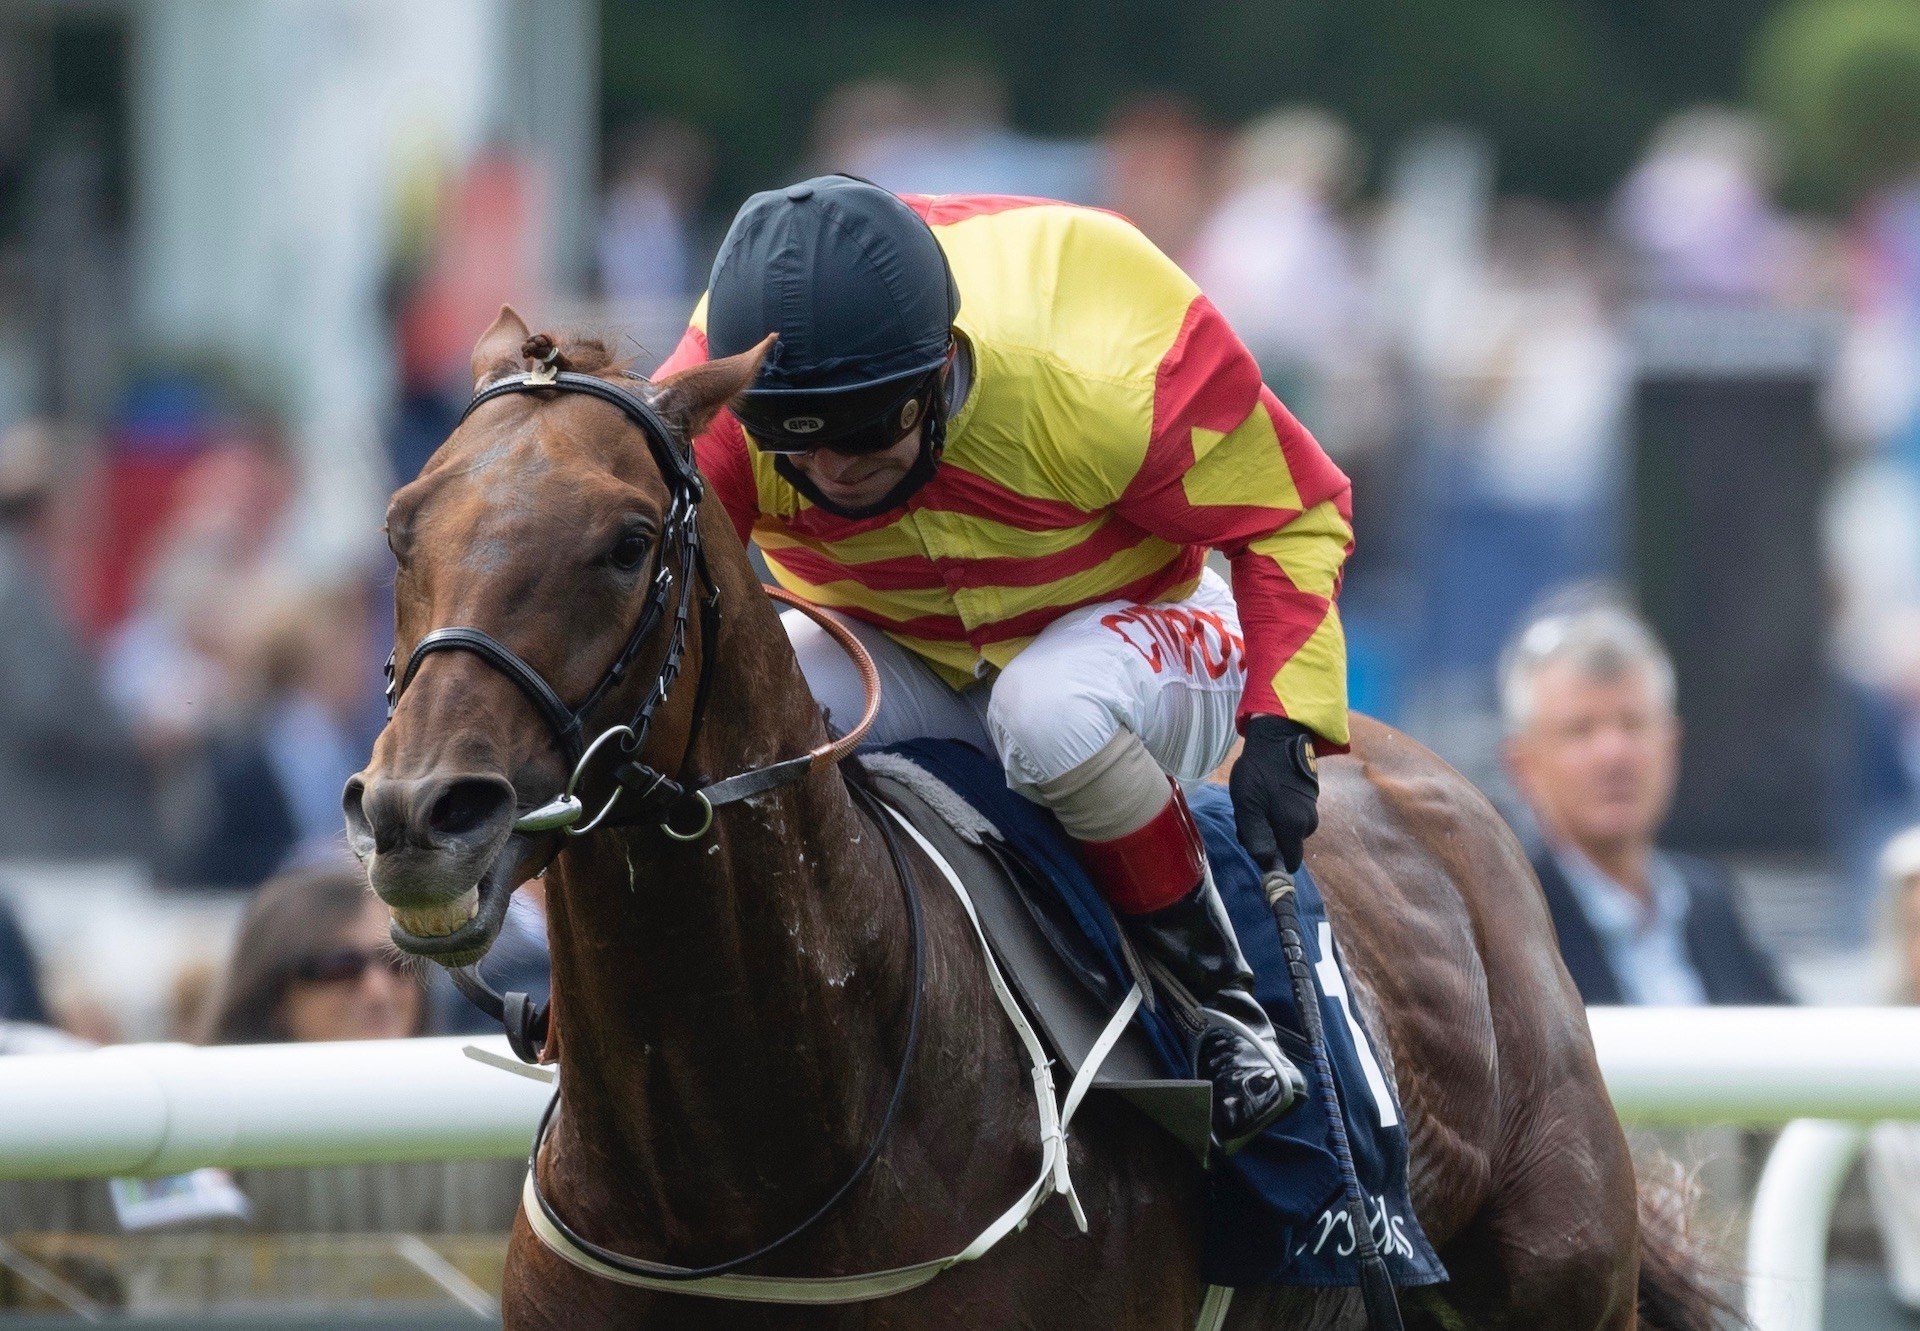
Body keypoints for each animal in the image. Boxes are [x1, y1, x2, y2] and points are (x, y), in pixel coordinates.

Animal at [349, 309, 1743, 1329]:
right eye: (401, 525)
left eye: (628, 540)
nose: (422, 812)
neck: (742, 1182)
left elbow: (1279, 507)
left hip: (1559, 1271)